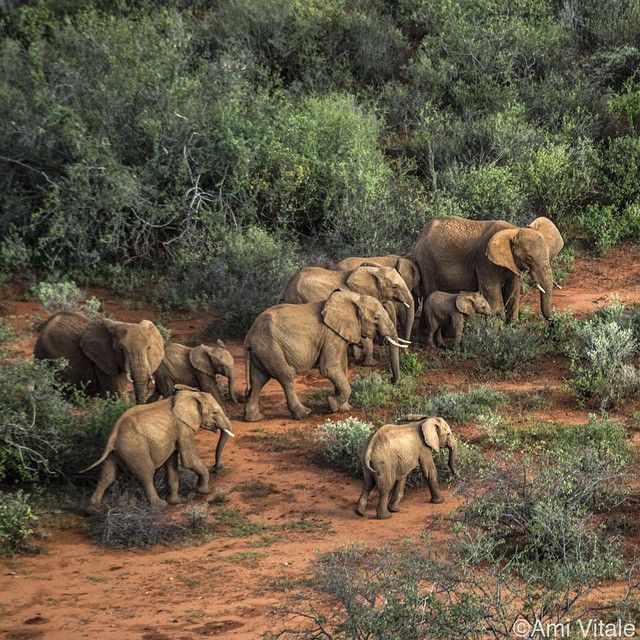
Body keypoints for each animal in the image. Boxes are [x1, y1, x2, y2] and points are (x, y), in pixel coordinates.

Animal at [80, 382, 235, 512]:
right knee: (146, 474)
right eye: (215, 412)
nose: (215, 468)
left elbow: (171, 463)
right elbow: (188, 461)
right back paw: (160, 506)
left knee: (107, 476)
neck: (189, 395)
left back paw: (92, 511)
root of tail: (113, 435)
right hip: (135, 448)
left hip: (118, 451)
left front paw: (177, 501)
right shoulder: (182, 427)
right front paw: (203, 491)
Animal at [149, 342, 239, 472]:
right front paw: (228, 415)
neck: (210, 350)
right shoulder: (201, 372)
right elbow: (210, 389)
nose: (214, 468)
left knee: (156, 393)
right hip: (164, 373)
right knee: (167, 390)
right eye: (221, 365)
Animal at [242, 288, 408, 420]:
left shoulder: (338, 335)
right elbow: (329, 368)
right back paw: (304, 413)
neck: (354, 297)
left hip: (263, 350)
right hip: (270, 347)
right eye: (376, 318)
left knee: (258, 379)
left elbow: (342, 367)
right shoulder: (330, 335)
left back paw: (253, 418)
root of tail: (248, 336)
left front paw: (344, 408)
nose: (392, 380)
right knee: (285, 375)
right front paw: (333, 405)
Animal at [280, 264, 416, 364]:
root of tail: (287, 287)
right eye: (394, 286)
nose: (407, 353)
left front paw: (357, 357)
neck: (373, 271)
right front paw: (371, 363)